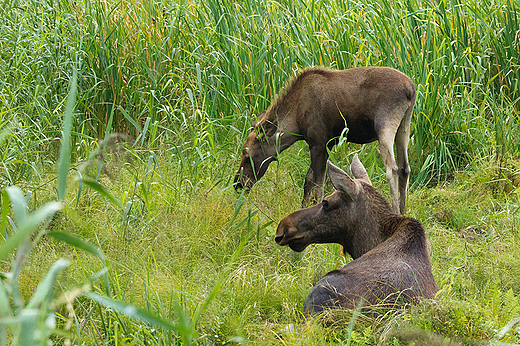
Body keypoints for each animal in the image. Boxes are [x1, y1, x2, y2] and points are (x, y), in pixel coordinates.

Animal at [235, 65, 414, 214]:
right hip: (404, 125)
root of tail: (410, 89)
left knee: (392, 168)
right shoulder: (328, 143)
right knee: (404, 168)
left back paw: (395, 211)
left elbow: (318, 185)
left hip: (385, 125)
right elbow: (309, 180)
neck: (295, 120)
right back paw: (404, 211)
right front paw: (303, 206)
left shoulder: (318, 143)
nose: (238, 184)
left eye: (248, 156)